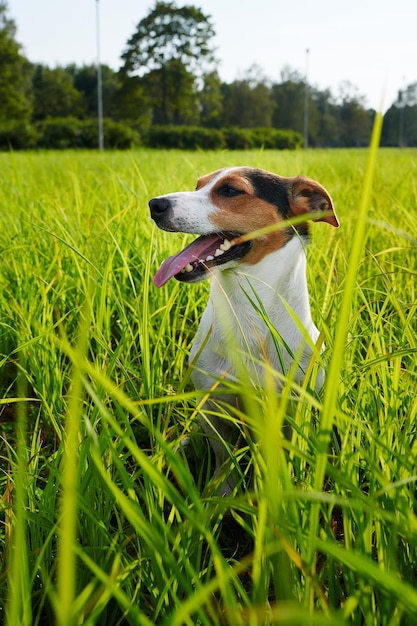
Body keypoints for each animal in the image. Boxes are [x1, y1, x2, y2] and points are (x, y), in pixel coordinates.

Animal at [148, 166, 336, 492]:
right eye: (197, 186)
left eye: (231, 191)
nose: (155, 204)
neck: (249, 314)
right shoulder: (213, 408)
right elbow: (223, 459)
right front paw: (222, 495)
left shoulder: (295, 408)